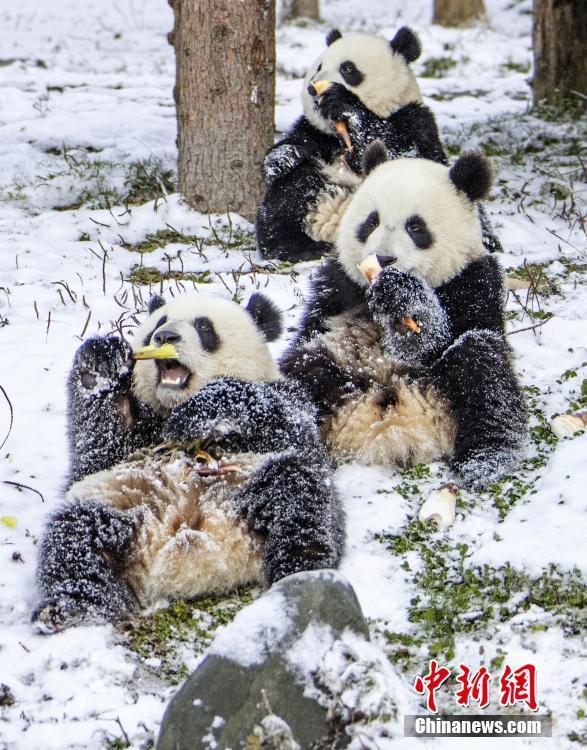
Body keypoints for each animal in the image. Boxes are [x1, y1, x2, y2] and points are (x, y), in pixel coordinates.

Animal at [33, 294, 344, 636]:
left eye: (204, 327)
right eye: (159, 322)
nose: (166, 336)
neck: (172, 405)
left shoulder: (289, 402)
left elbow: (281, 418)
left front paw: (199, 412)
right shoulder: (124, 446)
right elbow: (98, 443)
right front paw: (101, 362)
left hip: (254, 486)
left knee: (298, 500)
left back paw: (301, 573)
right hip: (118, 504)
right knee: (75, 537)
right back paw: (72, 610)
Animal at [255, 28, 504, 264]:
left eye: (348, 69)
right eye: (319, 67)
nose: (313, 89)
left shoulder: (416, 121)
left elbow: (404, 152)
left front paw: (343, 103)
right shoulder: (316, 133)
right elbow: (295, 145)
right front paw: (279, 159)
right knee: (290, 193)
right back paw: (300, 246)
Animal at [282, 142, 528, 494]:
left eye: (416, 226)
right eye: (371, 221)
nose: (384, 258)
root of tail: (393, 430)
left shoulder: (474, 280)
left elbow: (450, 333)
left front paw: (403, 301)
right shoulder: (336, 284)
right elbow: (309, 330)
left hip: (442, 393)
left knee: (483, 366)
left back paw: (486, 460)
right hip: (336, 372)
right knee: (302, 372)